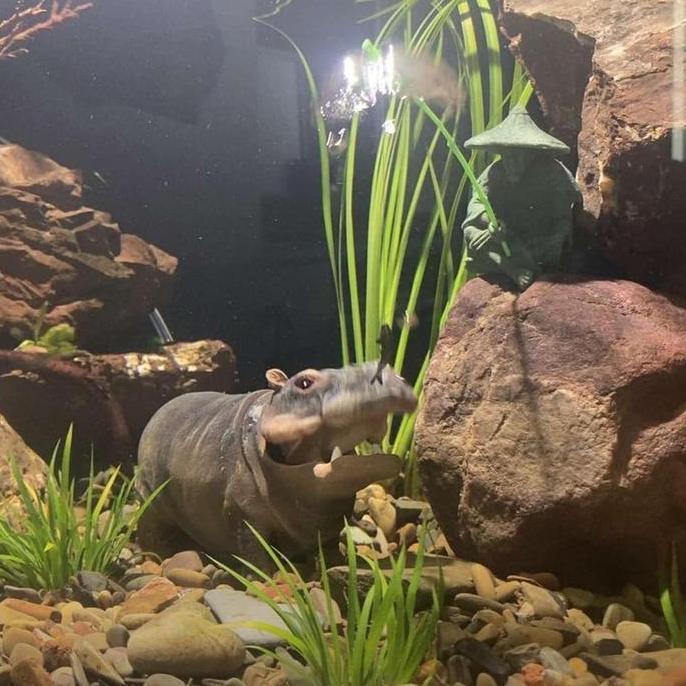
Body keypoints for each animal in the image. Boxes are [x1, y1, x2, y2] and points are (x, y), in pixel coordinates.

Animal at [136, 361, 417, 564]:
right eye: (304, 382)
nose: (382, 372)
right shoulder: (241, 511)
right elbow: (255, 553)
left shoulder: (330, 518)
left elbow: (329, 543)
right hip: (149, 497)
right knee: (150, 525)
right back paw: (157, 553)